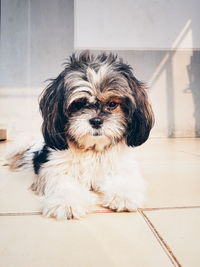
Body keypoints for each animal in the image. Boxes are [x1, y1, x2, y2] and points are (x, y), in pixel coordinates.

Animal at [8, 51, 155, 220]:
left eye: (112, 104)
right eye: (79, 104)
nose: (96, 121)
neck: (92, 150)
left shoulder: (121, 166)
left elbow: (124, 179)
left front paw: (123, 196)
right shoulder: (55, 169)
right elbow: (65, 185)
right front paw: (67, 202)